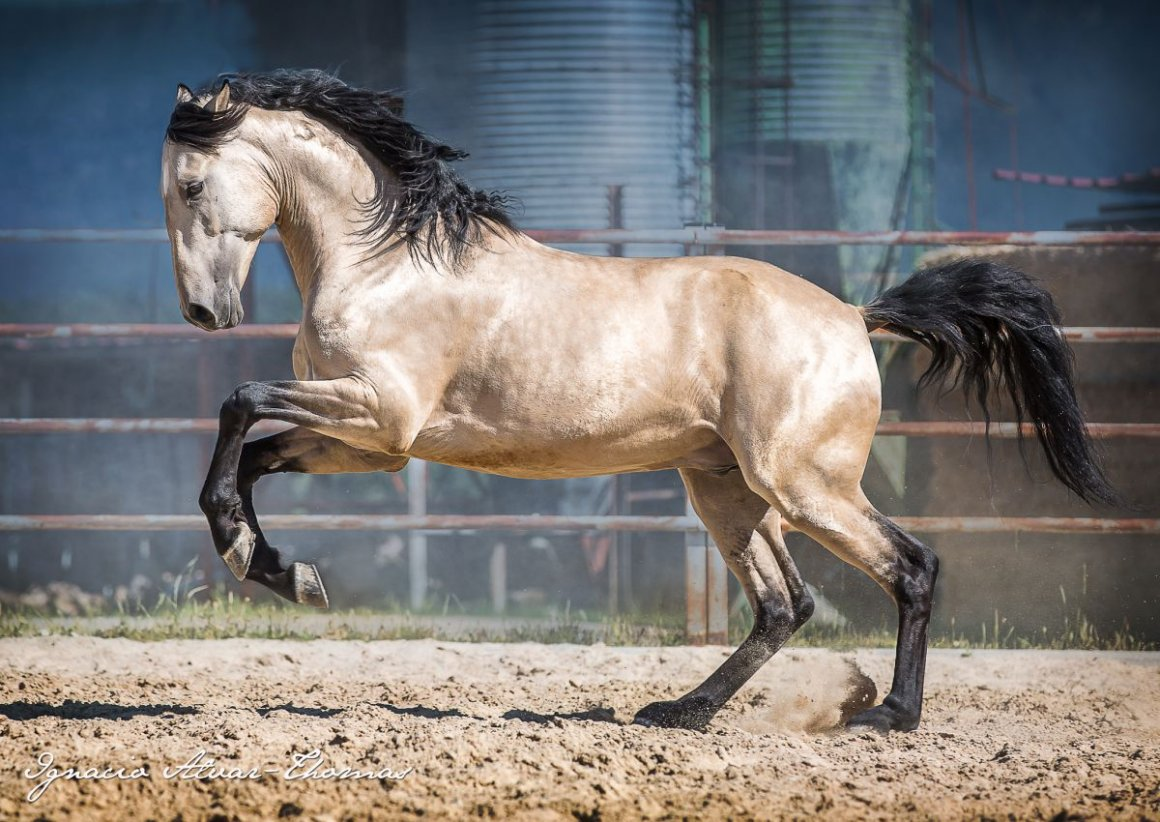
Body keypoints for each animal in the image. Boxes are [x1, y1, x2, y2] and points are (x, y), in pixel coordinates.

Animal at [161, 70, 1113, 732]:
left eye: (193, 185)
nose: (204, 314)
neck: (386, 261)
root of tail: (854, 314)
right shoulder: (369, 442)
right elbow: (252, 452)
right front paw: (276, 567)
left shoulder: (378, 415)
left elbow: (238, 404)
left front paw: (258, 557)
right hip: (726, 490)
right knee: (786, 605)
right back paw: (683, 712)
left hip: (804, 484)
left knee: (911, 568)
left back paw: (888, 715)